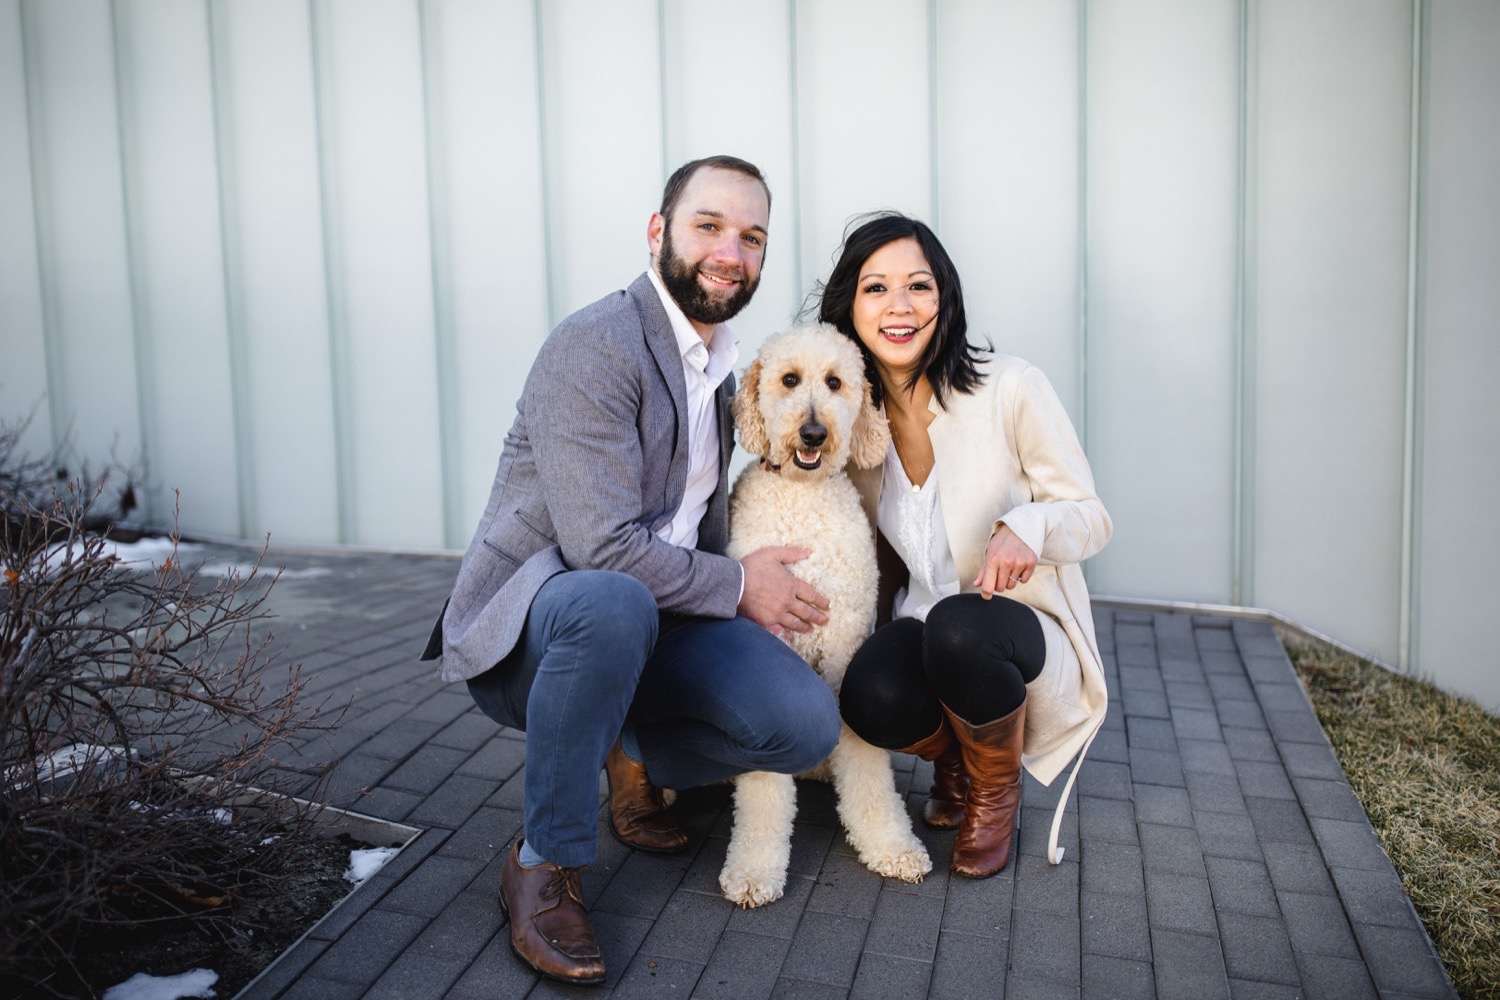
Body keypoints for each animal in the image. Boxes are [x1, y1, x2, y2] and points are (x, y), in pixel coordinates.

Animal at [720, 325, 930, 911]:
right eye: (789, 379)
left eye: (835, 382)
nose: (813, 433)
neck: (803, 499)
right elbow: (764, 787)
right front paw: (754, 868)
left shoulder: (844, 646)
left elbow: (867, 763)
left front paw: (889, 843)